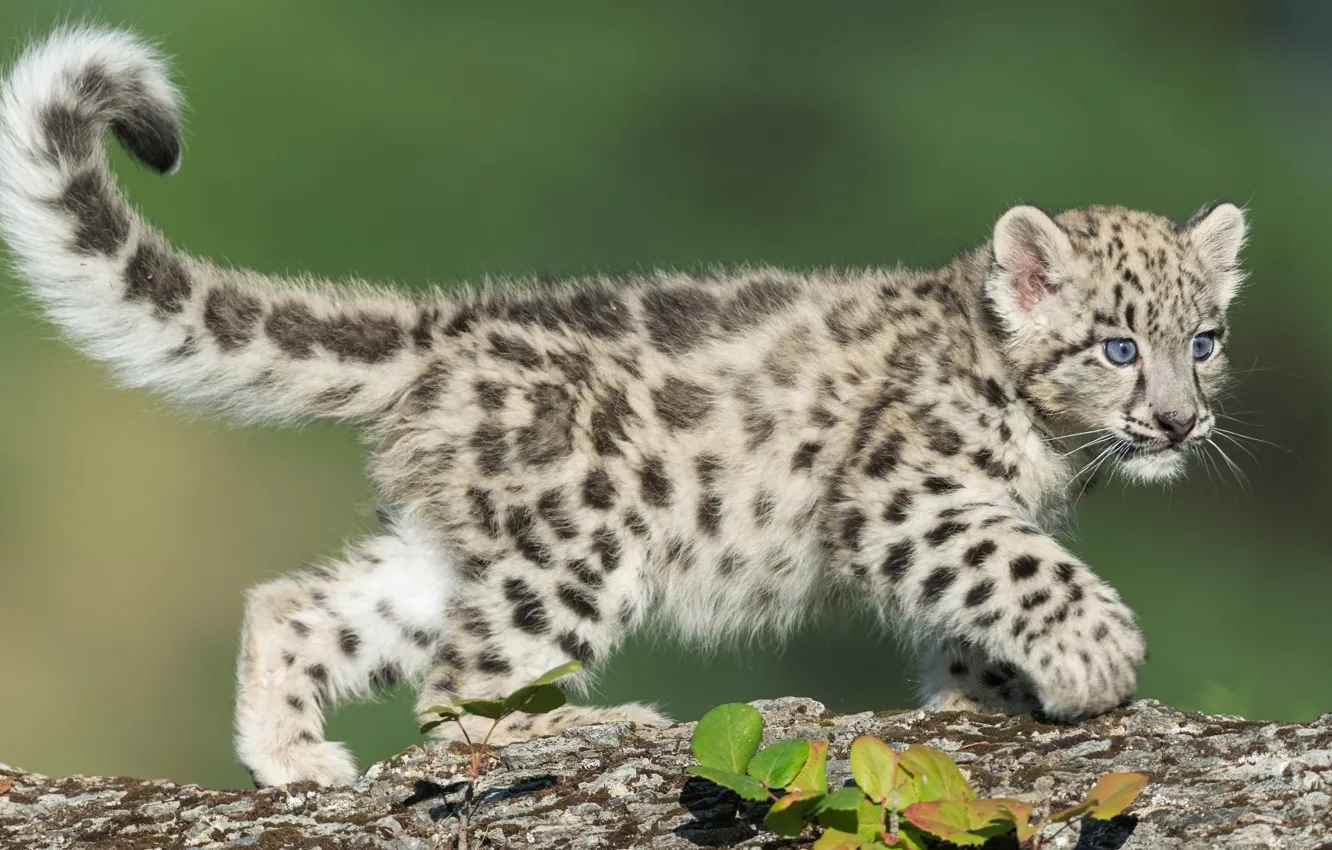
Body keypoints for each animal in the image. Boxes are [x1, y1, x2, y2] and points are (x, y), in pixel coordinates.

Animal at [0, 28, 1248, 787]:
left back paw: (294, 761)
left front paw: (986, 698)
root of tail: (448, 324)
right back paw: (599, 724)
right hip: (582, 540)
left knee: (302, 606)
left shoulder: (955, 512)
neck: (1048, 447)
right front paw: (1098, 655)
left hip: (462, 547)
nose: (1180, 422)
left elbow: (976, 612)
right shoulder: (909, 496)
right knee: (465, 690)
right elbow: (1017, 566)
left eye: (1206, 340)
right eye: (1118, 345)